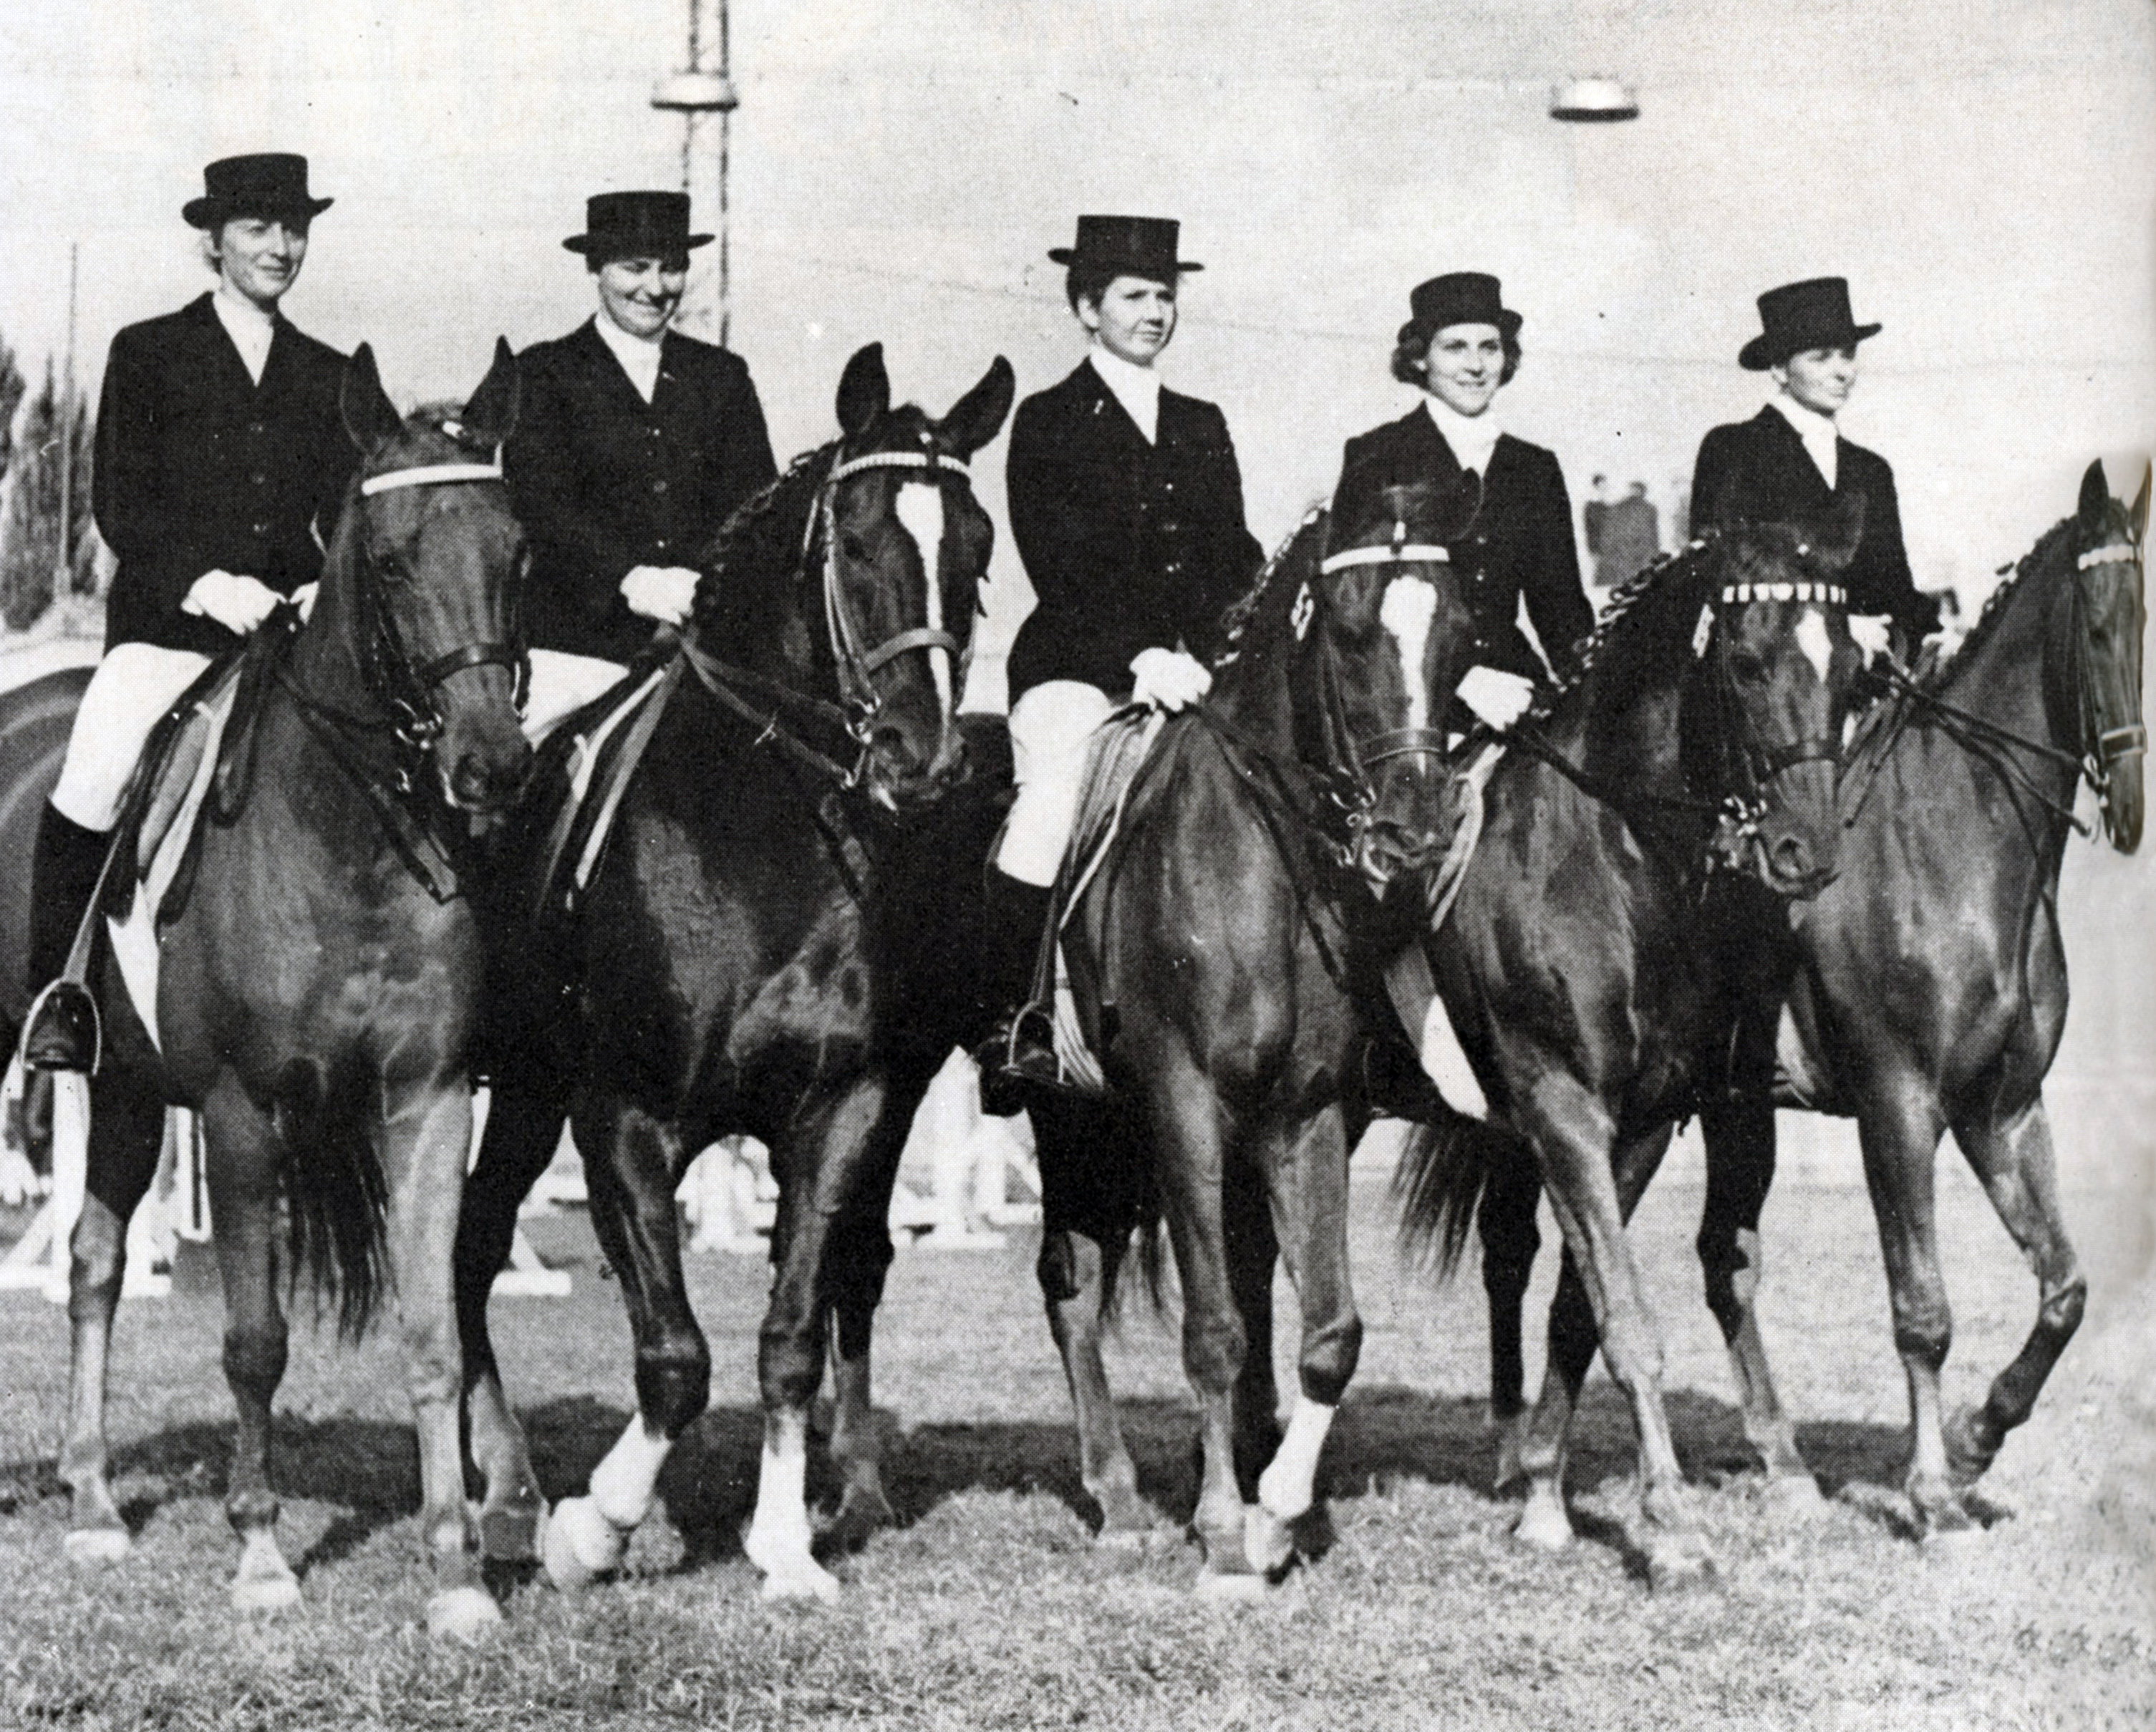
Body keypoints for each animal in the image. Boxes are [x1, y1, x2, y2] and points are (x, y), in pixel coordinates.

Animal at [52, 342, 532, 1639]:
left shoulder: (429, 1102)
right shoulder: (238, 1110)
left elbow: (433, 1330)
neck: (345, 833)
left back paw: (92, 1499)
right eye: (392, 558)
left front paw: (456, 1574)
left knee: (94, 1261)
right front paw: (263, 1552)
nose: (491, 765)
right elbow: (256, 1340)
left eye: (518, 552)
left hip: (123, 1090)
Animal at [453, 344, 1009, 1605]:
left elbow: (790, 1331)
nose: (924, 760)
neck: (757, 835)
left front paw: (785, 1543)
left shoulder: (842, 1112)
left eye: (977, 545)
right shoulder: (622, 1116)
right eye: (857, 541)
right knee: (464, 1254)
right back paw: (504, 1491)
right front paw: (594, 1526)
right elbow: (672, 1354)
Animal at [1026, 474, 1483, 1596]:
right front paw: (1226, 1535)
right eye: (1351, 630)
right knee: (1070, 1285)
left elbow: (1327, 1328)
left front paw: (1274, 1510)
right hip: (1066, 1116)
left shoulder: (1302, 1114)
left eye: (1460, 631)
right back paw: (1116, 1499)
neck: (1257, 862)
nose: (1414, 831)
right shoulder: (1183, 1101)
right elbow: (1213, 1328)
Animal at [1397, 508, 1871, 1596]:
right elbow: (1626, 1316)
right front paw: (1674, 1527)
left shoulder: (1639, 1121)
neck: (1602, 855)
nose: (1807, 852)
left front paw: (1542, 1491)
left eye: (1851, 668)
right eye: (1742, 662)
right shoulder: (1561, 1105)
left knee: (1506, 1249)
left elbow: (1583, 1305)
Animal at [1647, 461, 2138, 1527]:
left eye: (2146, 617)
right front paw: (1930, 1489)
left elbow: (2064, 1289)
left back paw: (1781, 1458)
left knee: (1721, 1260)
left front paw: (1975, 1436)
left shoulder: (2001, 1109)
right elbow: (1921, 1310)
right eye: (2093, 625)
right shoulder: (1898, 1104)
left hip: (1736, 1114)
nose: (2126, 806)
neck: (1959, 844)